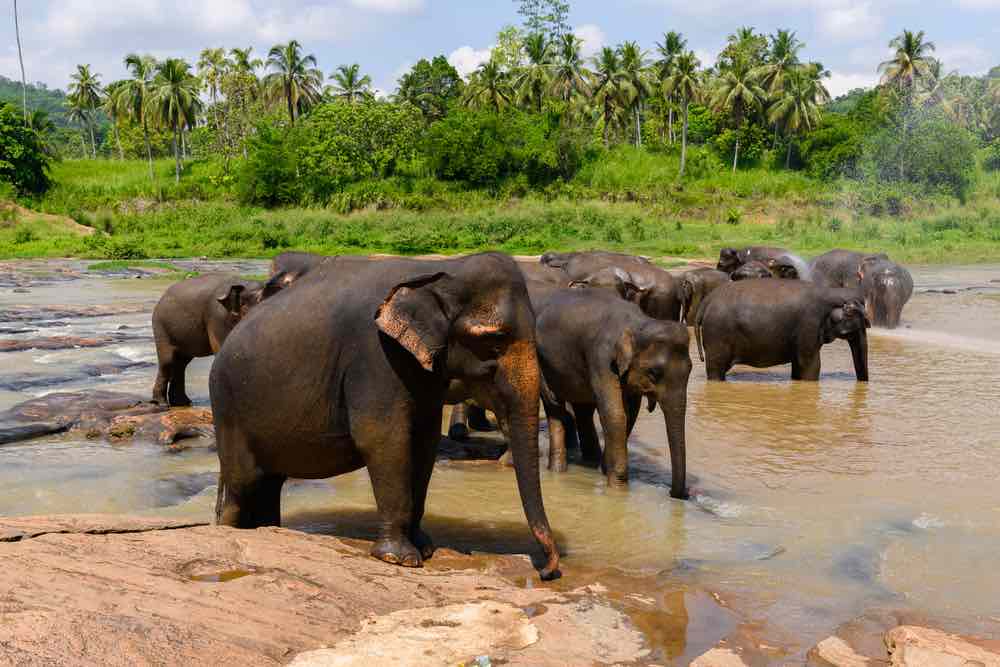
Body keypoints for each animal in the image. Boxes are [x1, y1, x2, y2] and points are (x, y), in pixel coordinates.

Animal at [150, 272, 282, 408]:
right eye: (250, 306)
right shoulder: (217, 316)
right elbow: (222, 348)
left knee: (181, 364)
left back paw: (182, 403)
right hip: (161, 327)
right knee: (168, 362)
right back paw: (161, 404)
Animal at [209, 253, 564, 580]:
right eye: (495, 340)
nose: (547, 571)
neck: (442, 270)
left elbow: (423, 439)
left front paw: (425, 547)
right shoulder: (375, 356)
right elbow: (384, 438)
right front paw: (400, 559)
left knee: (268, 483)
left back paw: (268, 530)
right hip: (228, 410)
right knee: (244, 483)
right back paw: (230, 531)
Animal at [536, 288, 692, 496]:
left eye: (690, 370)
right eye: (654, 373)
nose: (680, 495)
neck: (638, 324)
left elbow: (630, 413)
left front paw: (605, 470)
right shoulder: (602, 359)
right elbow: (616, 414)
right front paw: (618, 487)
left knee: (583, 409)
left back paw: (591, 461)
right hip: (540, 362)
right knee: (554, 405)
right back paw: (558, 470)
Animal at [696, 276, 868, 380]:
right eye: (863, 320)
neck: (834, 293)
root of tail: (706, 301)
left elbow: (798, 365)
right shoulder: (809, 325)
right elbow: (811, 365)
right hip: (717, 333)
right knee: (716, 369)